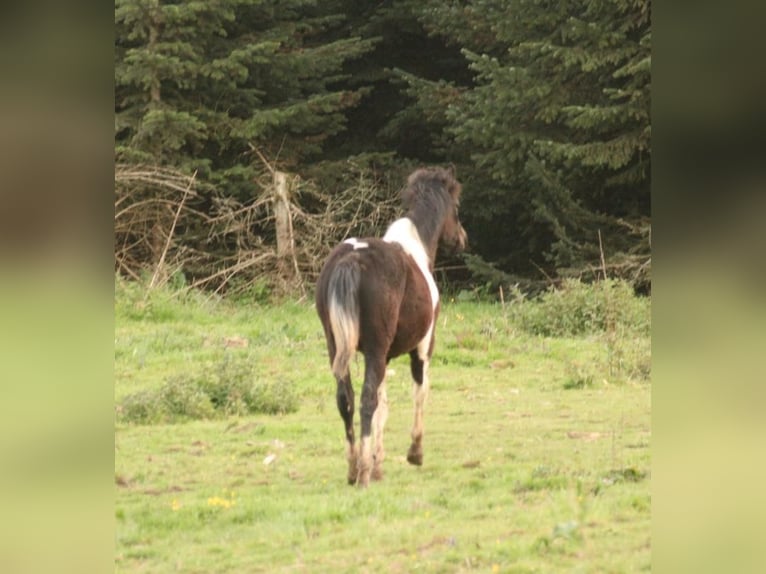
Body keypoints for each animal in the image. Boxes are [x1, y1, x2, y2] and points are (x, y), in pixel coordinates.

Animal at [314, 166, 468, 486]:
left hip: (339, 348)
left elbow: (383, 405)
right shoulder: (422, 348)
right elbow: (419, 393)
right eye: (456, 208)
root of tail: (351, 259)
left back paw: (354, 469)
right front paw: (414, 454)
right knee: (366, 399)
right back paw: (362, 472)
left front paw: (378, 464)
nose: (462, 238)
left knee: (346, 400)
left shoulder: (383, 357)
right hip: (376, 351)